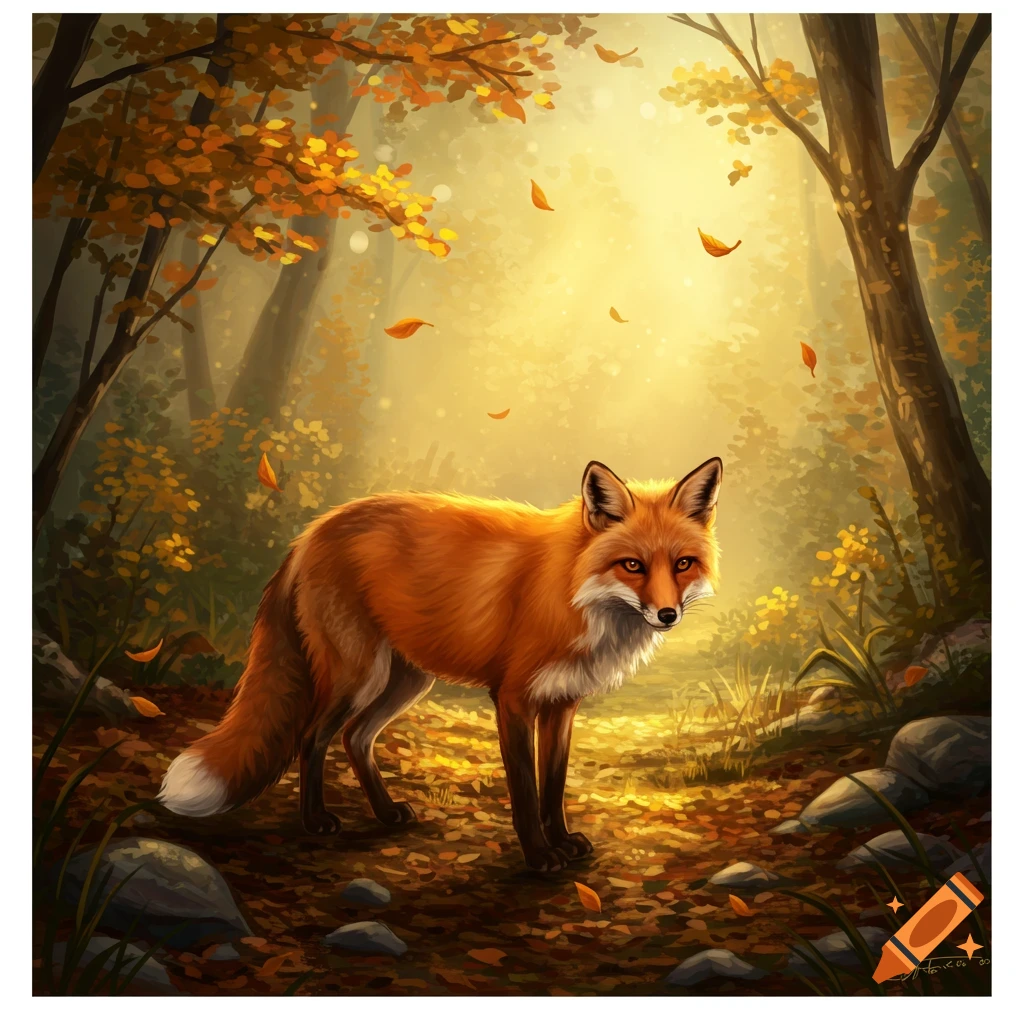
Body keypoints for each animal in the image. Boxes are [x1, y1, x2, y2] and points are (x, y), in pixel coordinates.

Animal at [158, 457, 722, 872]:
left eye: (682, 564)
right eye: (632, 565)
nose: (667, 614)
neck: (569, 588)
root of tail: (313, 529)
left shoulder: (563, 702)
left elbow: (554, 786)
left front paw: (561, 842)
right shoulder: (513, 699)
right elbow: (525, 790)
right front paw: (540, 856)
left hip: (406, 681)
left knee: (355, 738)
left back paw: (386, 813)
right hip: (358, 675)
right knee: (312, 737)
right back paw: (316, 820)